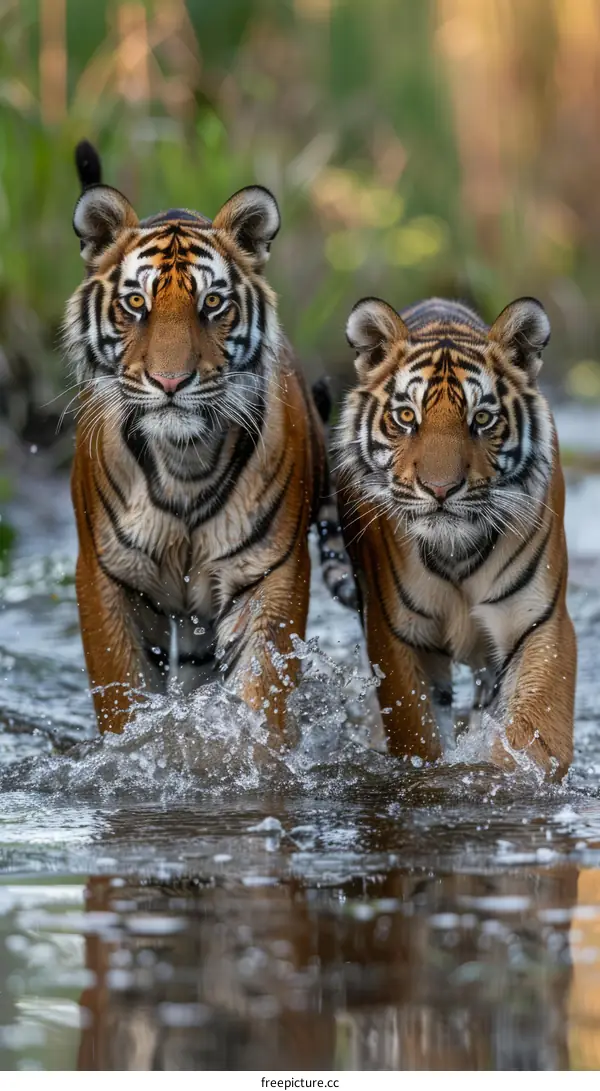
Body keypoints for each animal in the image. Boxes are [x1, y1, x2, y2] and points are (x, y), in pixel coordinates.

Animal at [63, 140, 351, 736]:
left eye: (213, 304)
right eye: (135, 303)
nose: (171, 381)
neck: (184, 463)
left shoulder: (269, 575)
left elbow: (259, 696)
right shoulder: (104, 577)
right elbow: (122, 701)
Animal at [335, 295, 576, 778]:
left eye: (481, 418)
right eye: (406, 416)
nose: (441, 489)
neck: (456, 550)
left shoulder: (540, 622)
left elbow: (534, 732)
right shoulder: (399, 637)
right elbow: (417, 734)